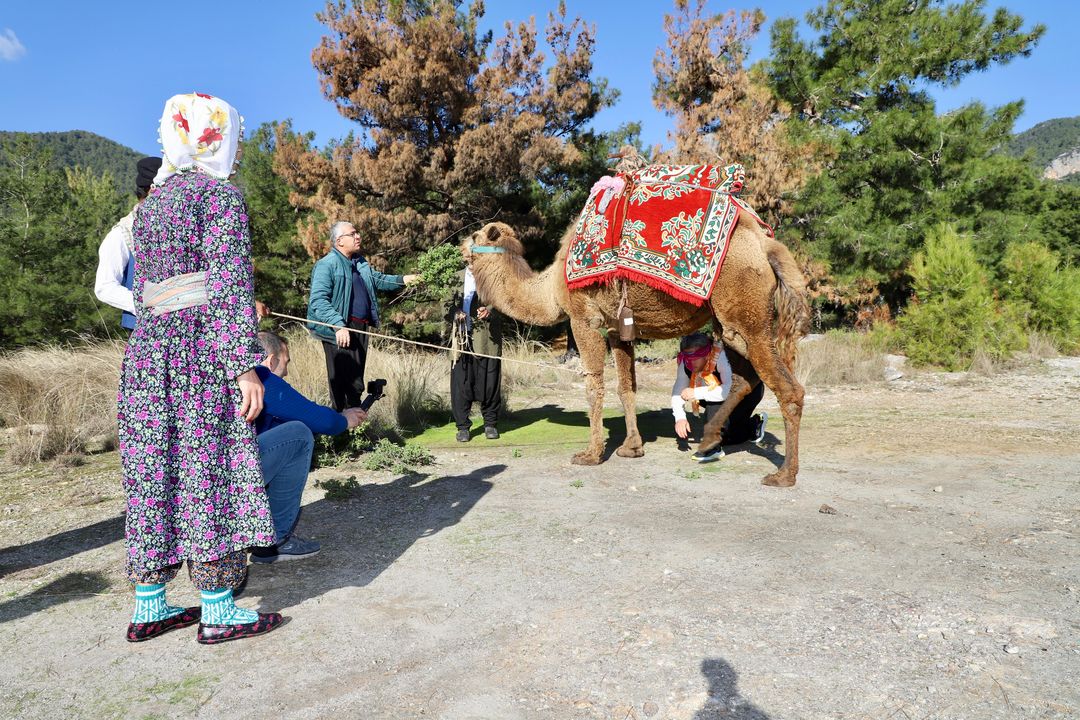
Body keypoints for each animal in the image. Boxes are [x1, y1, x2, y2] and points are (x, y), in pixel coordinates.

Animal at [464, 211, 812, 487]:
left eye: (475, 235)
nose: (461, 247)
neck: (549, 289)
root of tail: (766, 247)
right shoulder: (618, 329)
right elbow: (626, 388)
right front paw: (632, 447)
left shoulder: (583, 318)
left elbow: (594, 386)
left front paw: (591, 454)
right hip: (729, 323)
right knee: (743, 380)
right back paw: (711, 438)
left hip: (745, 315)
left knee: (788, 389)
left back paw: (784, 475)